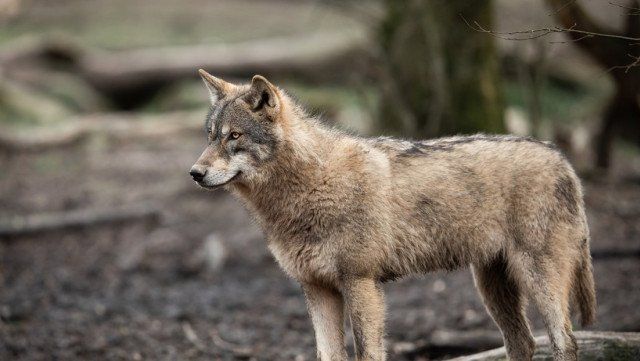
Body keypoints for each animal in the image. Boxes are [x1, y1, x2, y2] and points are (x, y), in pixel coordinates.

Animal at [189, 70, 596, 360]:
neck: (311, 185)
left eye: (234, 136)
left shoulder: (361, 283)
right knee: (523, 343)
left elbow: (367, 353)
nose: (194, 173)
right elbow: (328, 354)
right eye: (210, 135)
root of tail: (562, 158)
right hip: (492, 287)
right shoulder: (317, 289)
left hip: (538, 280)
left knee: (564, 342)